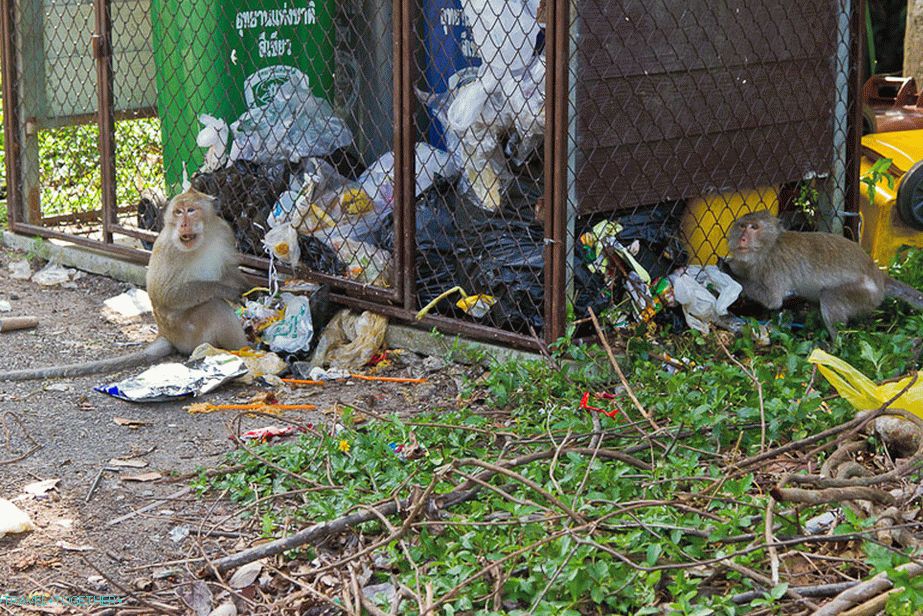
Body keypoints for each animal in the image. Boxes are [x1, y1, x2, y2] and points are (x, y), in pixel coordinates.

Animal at [0, 188, 248, 381]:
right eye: (178, 212)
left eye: (191, 210)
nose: (183, 224)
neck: (203, 239)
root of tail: (165, 334)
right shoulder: (170, 248)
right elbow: (166, 294)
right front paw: (227, 291)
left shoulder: (224, 233)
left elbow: (229, 270)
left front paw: (245, 289)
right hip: (187, 333)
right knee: (214, 307)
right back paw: (244, 349)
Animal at [726, 209, 923, 340]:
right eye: (742, 226)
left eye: (754, 227)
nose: (742, 238)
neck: (769, 245)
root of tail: (878, 276)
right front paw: (732, 266)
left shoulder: (773, 266)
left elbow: (773, 300)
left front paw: (729, 273)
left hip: (863, 293)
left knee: (830, 296)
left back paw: (835, 347)